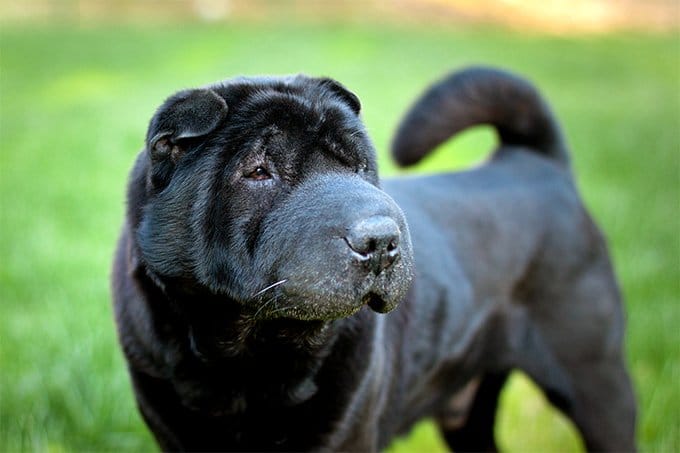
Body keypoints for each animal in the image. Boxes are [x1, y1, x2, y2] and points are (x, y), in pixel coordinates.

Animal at [111, 66, 636, 448]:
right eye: (259, 171)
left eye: (359, 166)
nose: (380, 239)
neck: (242, 358)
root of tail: (538, 164)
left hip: (596, 380)